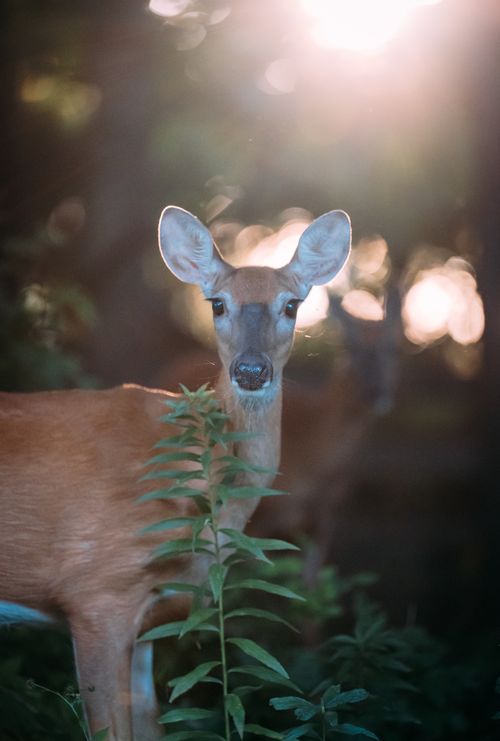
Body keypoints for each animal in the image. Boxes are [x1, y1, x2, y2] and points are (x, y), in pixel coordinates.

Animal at [0, 205, 351, 741]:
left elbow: (150, 725)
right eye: (217, 304)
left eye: (291, 305)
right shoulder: (95, 592)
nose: (251, 371)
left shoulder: (149, 618)